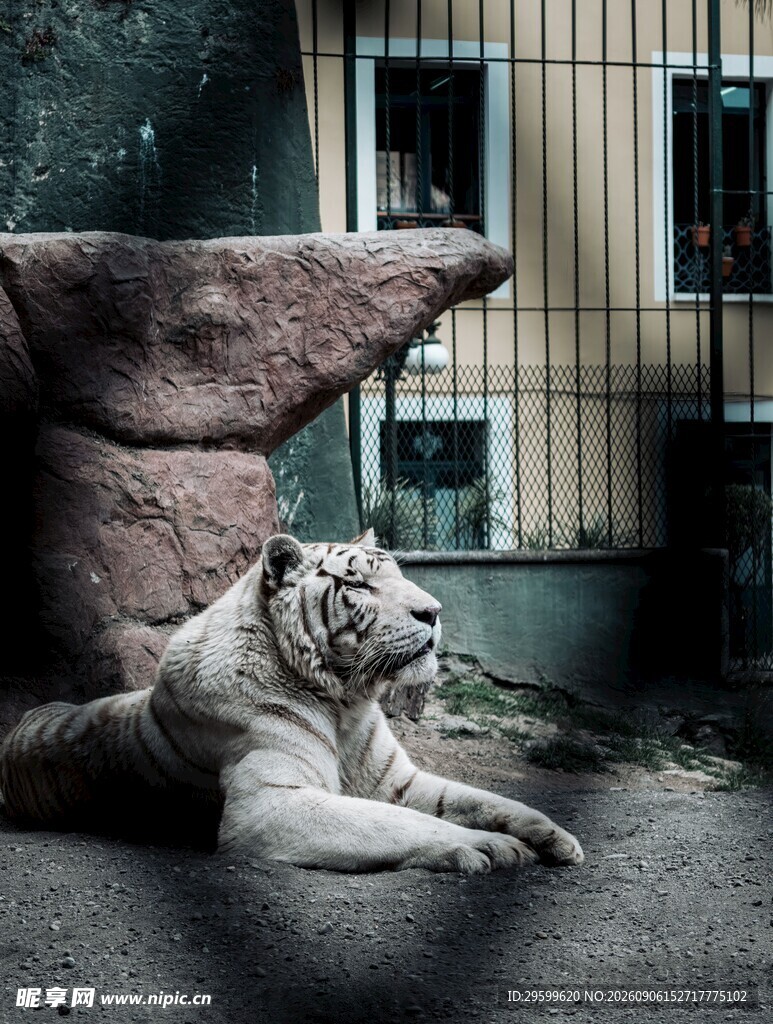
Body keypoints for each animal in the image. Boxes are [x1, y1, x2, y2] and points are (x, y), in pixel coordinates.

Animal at [0, 530, 584, 873]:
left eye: (398, 574)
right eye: (359, 585)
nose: (434, 611)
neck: (346, 701)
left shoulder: (396, 781)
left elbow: (484, 799)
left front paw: (555, 836)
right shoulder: (271, 805)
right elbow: (398, 824)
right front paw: (491, 848)